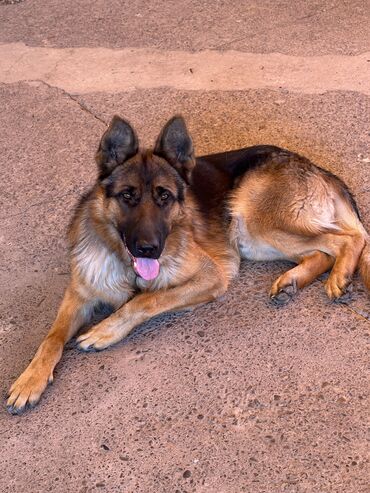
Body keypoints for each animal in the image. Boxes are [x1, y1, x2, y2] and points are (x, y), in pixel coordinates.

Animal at [7, 115, 370, 412]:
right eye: (127, 196)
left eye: (165, 197)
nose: (149, 248)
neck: (125, 264)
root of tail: (317, 168)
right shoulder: (80, 291)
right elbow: (52, 337)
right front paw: (29, 380)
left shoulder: (210, 276)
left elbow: (144, 300)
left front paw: (103, 331)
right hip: (254, 240)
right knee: (322, 252)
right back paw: (292, 282)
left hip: (254, 223)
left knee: (347, 240)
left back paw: (338, 278)